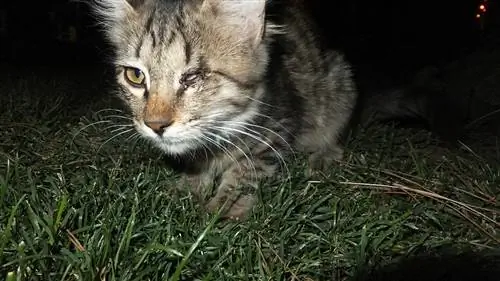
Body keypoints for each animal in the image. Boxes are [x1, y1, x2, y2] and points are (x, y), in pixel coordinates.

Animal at [94, 0, 358, 219]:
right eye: (135, 76)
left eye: (192, 77)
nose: (155, 125)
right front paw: (186, 191)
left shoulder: (279, 123)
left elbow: (246, 172)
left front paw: (225, 209)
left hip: (340, 86)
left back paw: (323, 157)